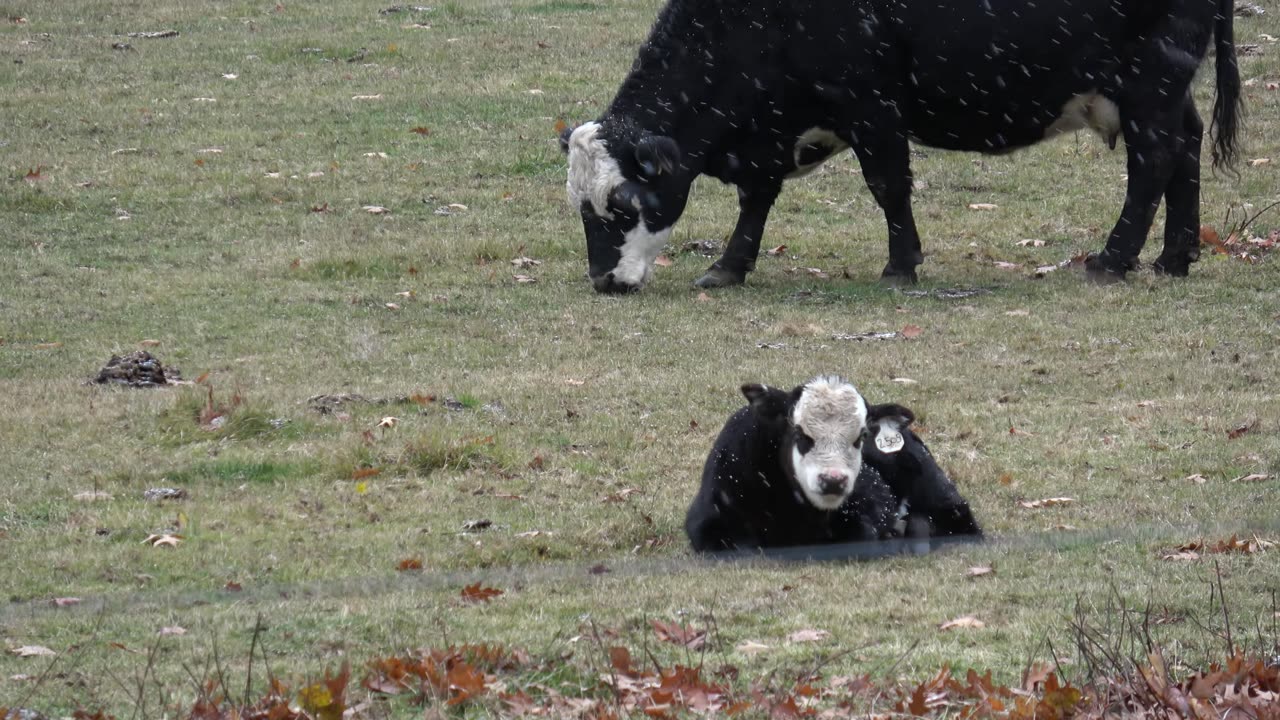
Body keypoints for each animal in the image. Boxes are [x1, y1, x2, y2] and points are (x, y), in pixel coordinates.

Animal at [561, 0, 1242, 293]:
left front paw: (901, 264)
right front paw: (729, 266)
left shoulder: (871, 106)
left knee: (1154, 159)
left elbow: (888, 187)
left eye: (623, 205)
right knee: (1185, 149)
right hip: (1164, 88)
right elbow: (757, 199)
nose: (604, 282)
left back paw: (1114, 259)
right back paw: (1174, 257)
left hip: (1151, 77)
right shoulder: (774, 126)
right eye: (582, 208)